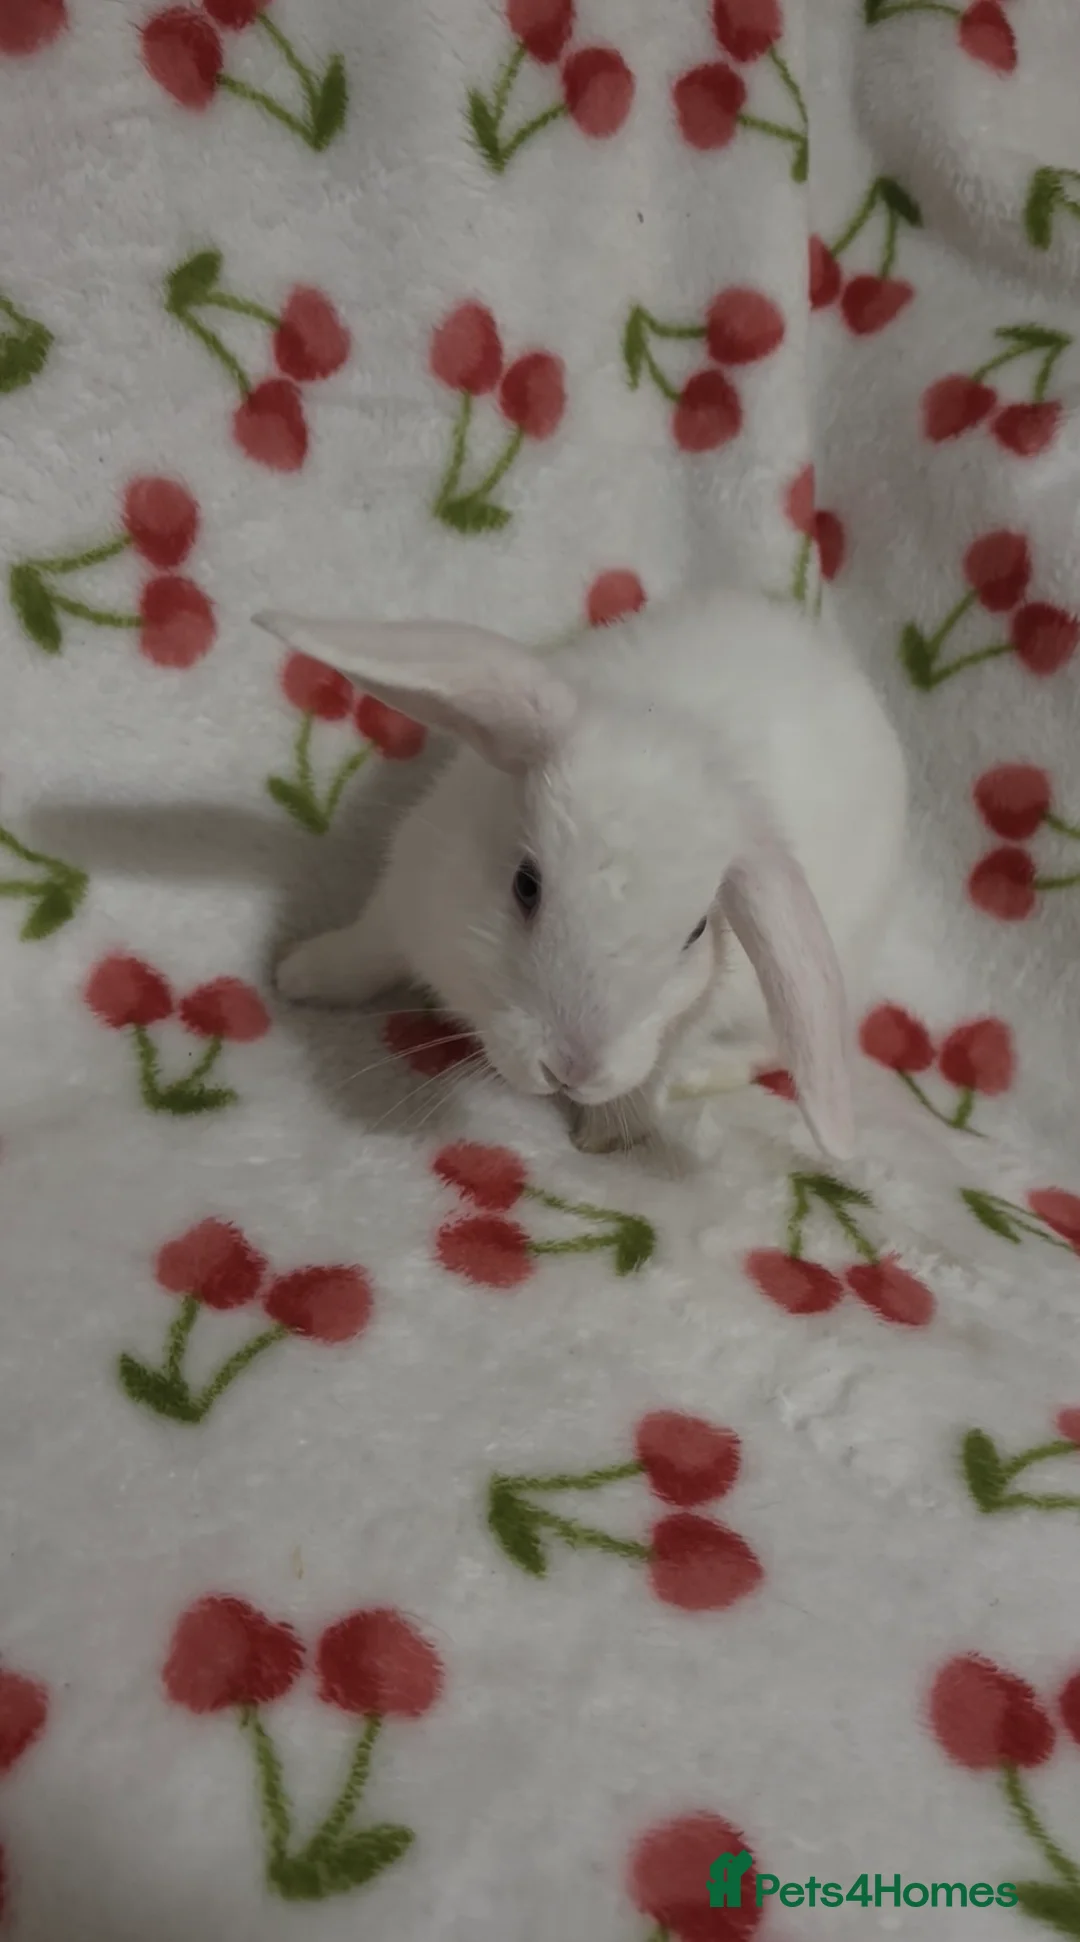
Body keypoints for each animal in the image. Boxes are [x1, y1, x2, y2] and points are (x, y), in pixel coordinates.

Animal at [256, 586, 907, 1162]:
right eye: (526, 884)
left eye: (697, 932)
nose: (571, 1069)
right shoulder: (407, 891)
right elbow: (366, 950)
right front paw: (297, 975)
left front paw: (608, 1136)